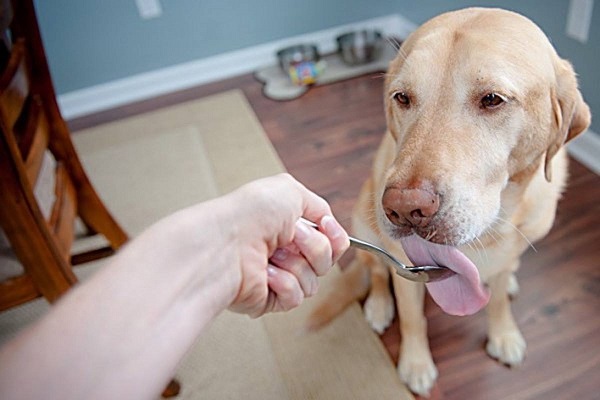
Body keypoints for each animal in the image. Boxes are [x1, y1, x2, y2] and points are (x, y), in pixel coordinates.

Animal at [310, 6, 592, 396]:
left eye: (492, 99)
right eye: (402, 97)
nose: (404, 208)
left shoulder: (506, 254)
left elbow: (498, 300)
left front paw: (503, 334)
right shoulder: (403, 268)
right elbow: (413, 318)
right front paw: (415, 365)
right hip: (361, 220)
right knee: (375, 270)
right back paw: (379, 306)